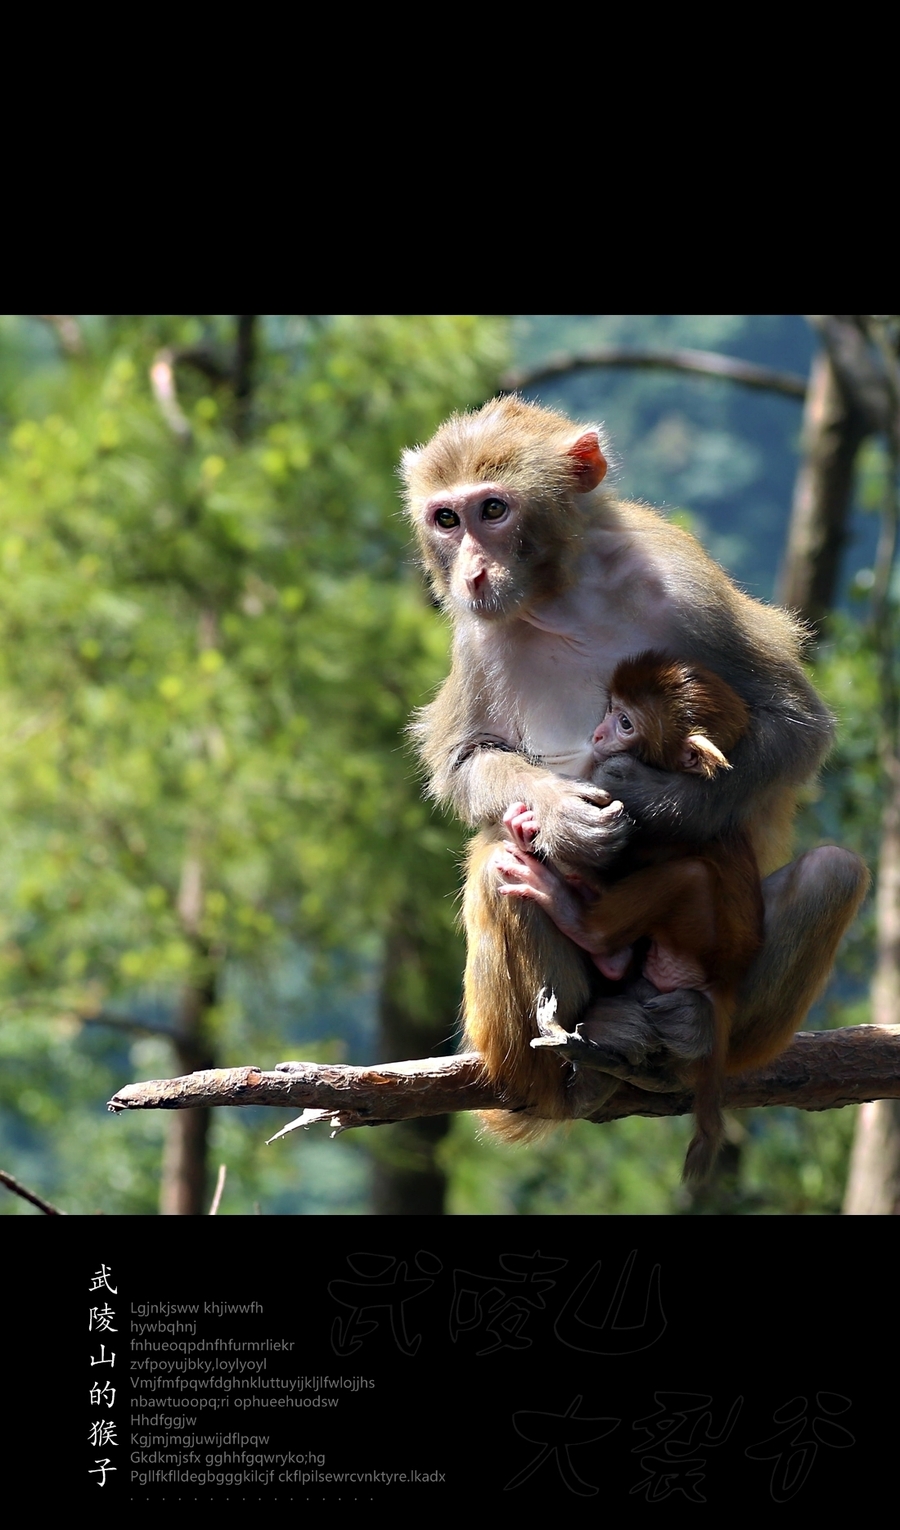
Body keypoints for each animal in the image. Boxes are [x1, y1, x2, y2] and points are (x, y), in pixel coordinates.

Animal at [495, 645, 762, 1181]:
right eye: (610, 709)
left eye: (624, 723)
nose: (597, 735)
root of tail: (728, 981)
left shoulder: (633, 795)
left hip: (700, 942)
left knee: (689, 877)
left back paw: (585, 926)